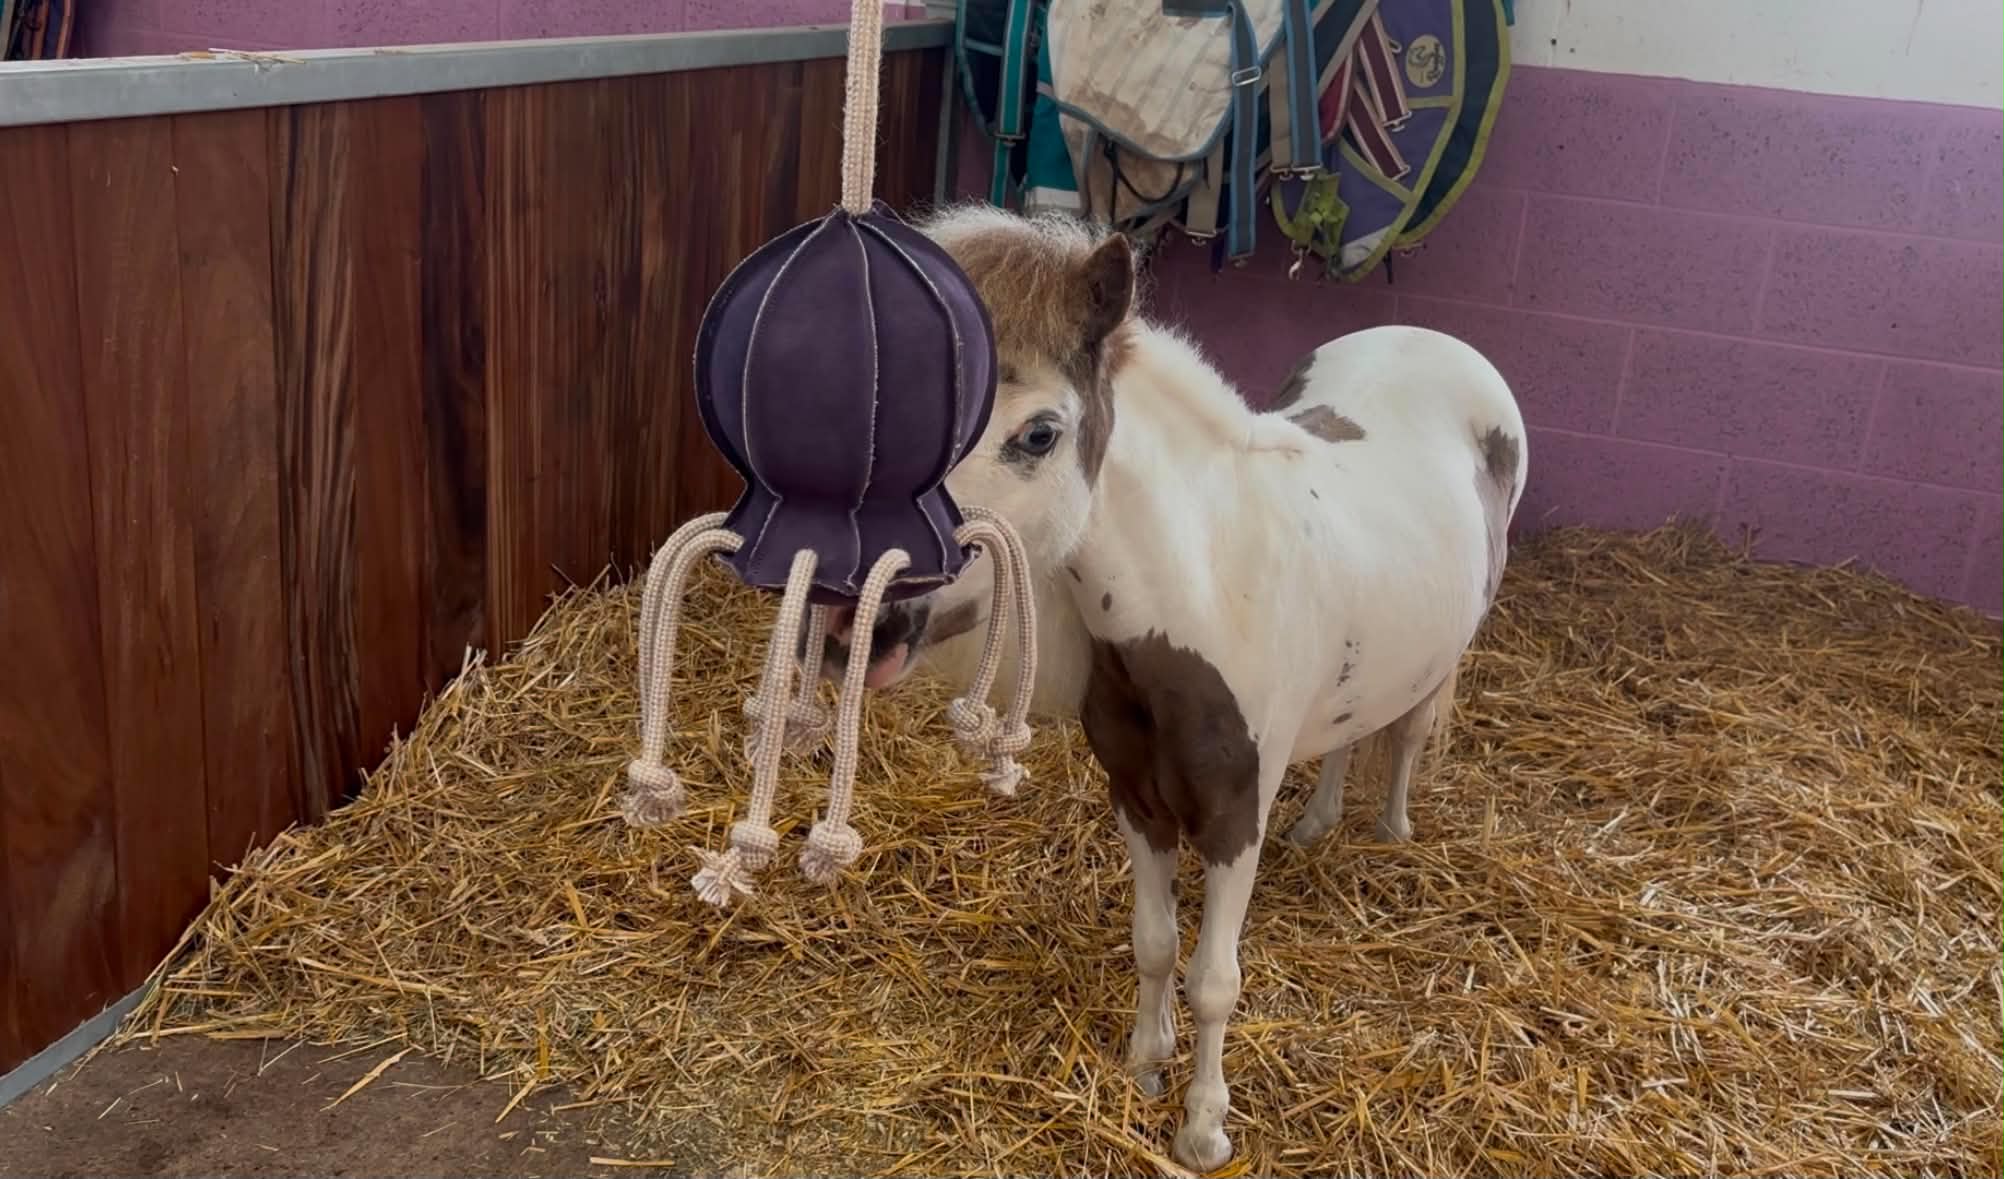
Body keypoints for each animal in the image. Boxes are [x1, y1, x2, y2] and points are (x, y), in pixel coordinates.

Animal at [823, 204, 1528, 1171]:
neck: (1208, 594)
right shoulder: (1137, 797)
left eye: (1038, 434)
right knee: (1351, 729)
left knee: (1409, 731)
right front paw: (1145, 1065)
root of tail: (1435, 338)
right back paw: (1319, 825)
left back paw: (1390, 830)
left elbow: (1214, 981)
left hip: (1448, 649)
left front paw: (1202, 1127)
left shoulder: (1234, 820)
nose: (864, 623)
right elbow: (1155, 944)